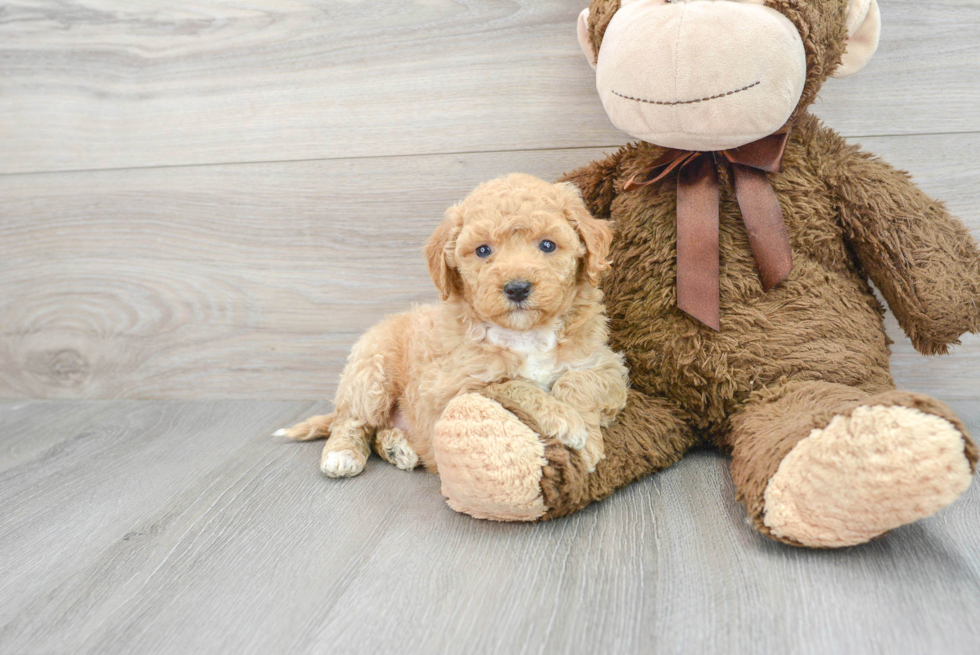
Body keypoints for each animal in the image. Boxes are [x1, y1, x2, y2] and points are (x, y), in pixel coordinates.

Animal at [276, 174, 628, 480]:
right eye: (483, 250)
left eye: (548, 245)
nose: (516, 288)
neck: (524, 333)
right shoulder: (453, 388)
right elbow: (513, 385)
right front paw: (566, 422)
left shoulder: (608, 367)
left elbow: (575, 381)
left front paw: (588, 438)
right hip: (371, 372)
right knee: (352, 420)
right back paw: (343, 455)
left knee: (376, 431)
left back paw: (396, 447)